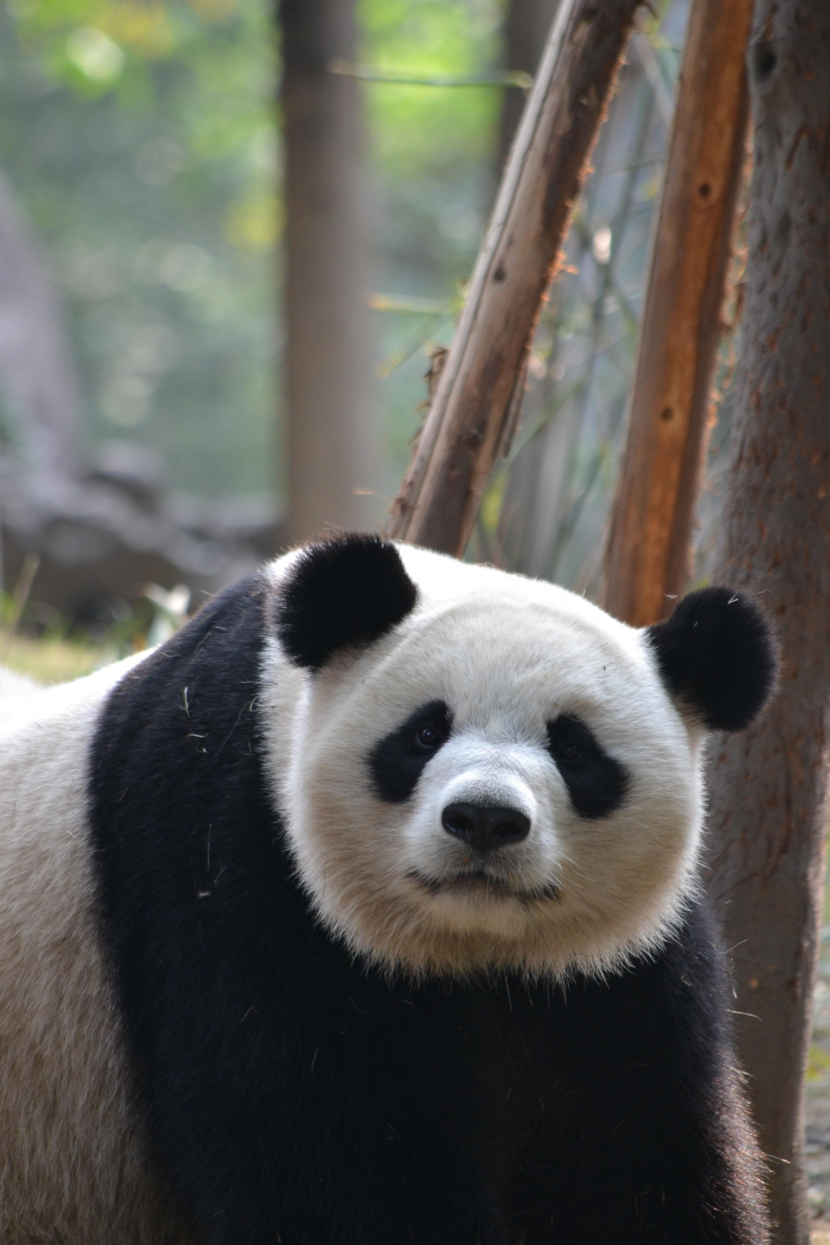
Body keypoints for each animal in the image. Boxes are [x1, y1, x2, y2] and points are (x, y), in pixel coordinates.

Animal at [1, 535, 781, 1245]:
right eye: (425, 731)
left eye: (574, 749)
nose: (486, 818)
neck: (475, 952)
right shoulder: (229, 860)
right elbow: (321, 1151)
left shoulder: (617, 972)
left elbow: (635, 1160)